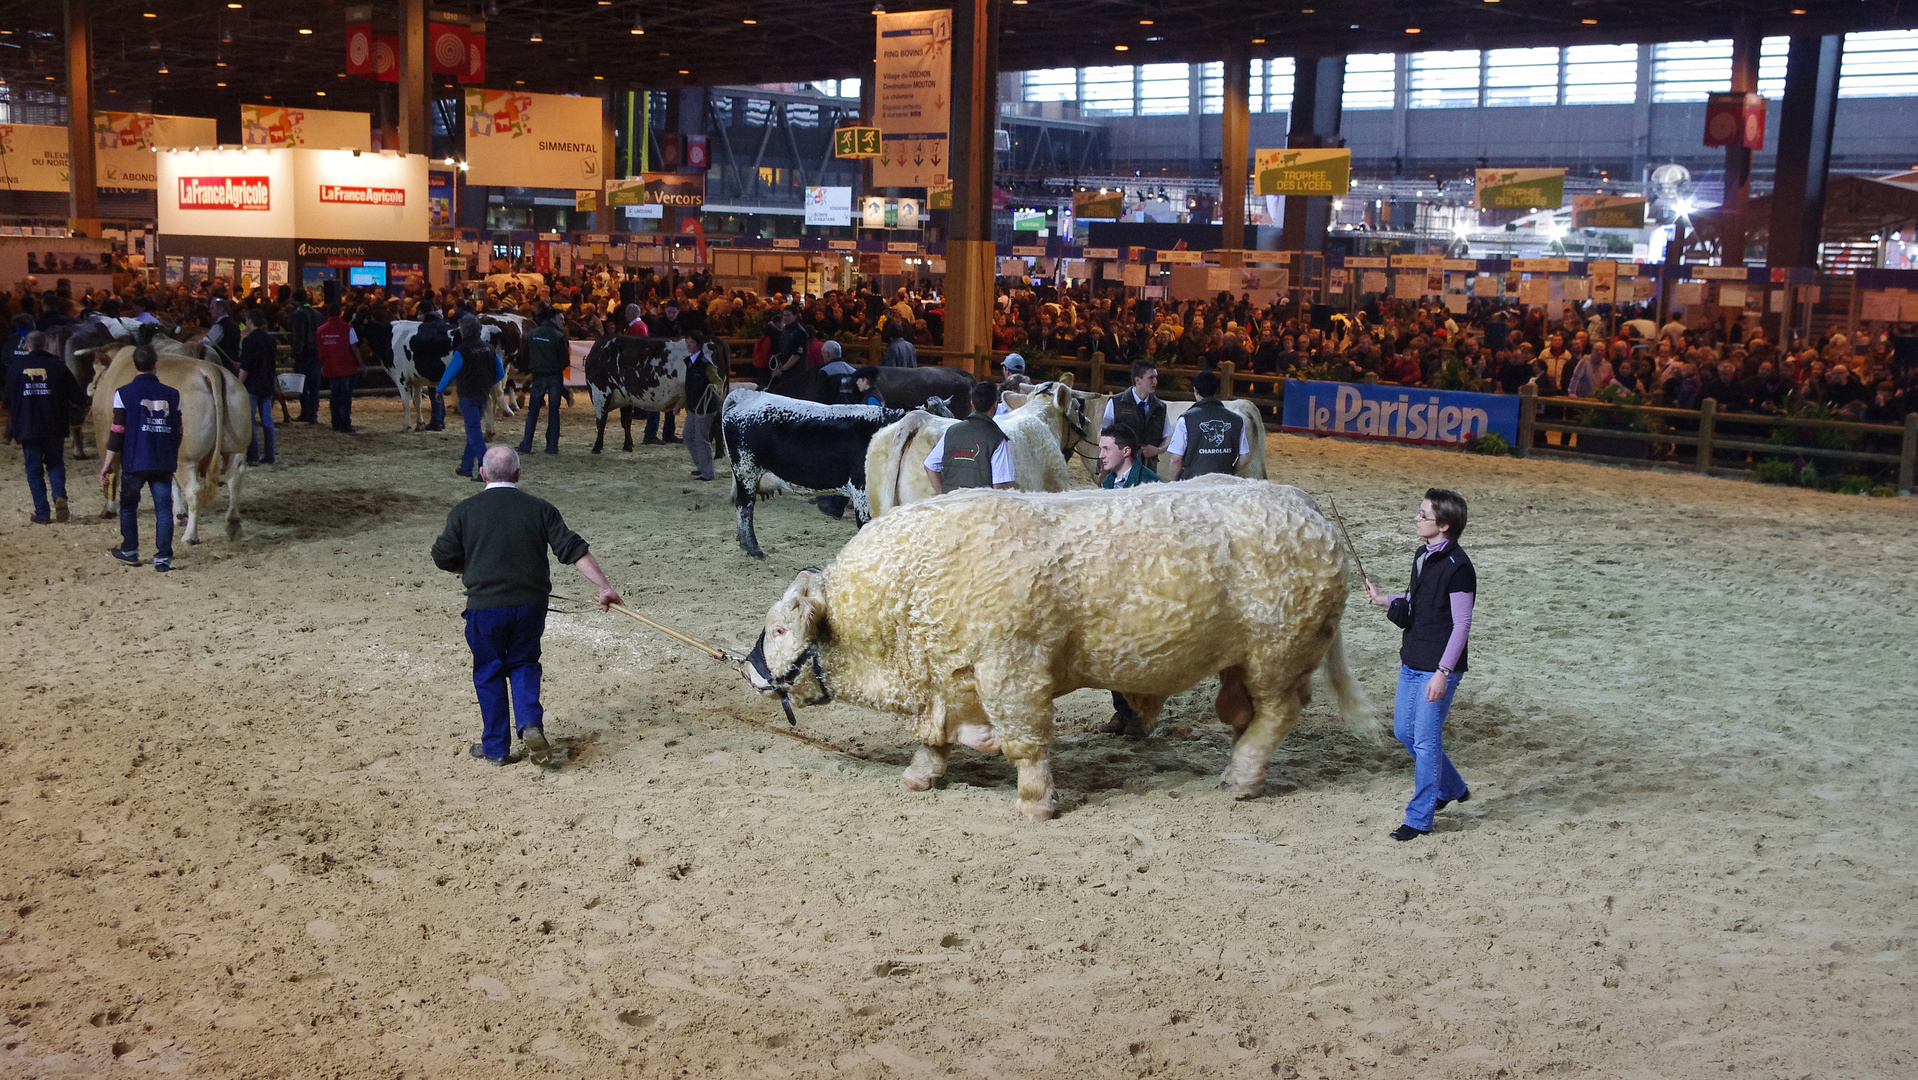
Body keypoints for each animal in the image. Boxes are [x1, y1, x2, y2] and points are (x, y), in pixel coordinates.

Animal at [744, 477, 1365, 824]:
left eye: (777, 630)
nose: (748, 672)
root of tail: (1301, 502)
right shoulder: (943, 685)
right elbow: (934, 742)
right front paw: (921, 777)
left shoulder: (1012, 670)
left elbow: (1026, 743)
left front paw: (1035, 802)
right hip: (1244, 663)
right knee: (1244, 714)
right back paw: (1238, 765)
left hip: (1278, 655)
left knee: (1278, 713)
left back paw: (1242, 777)